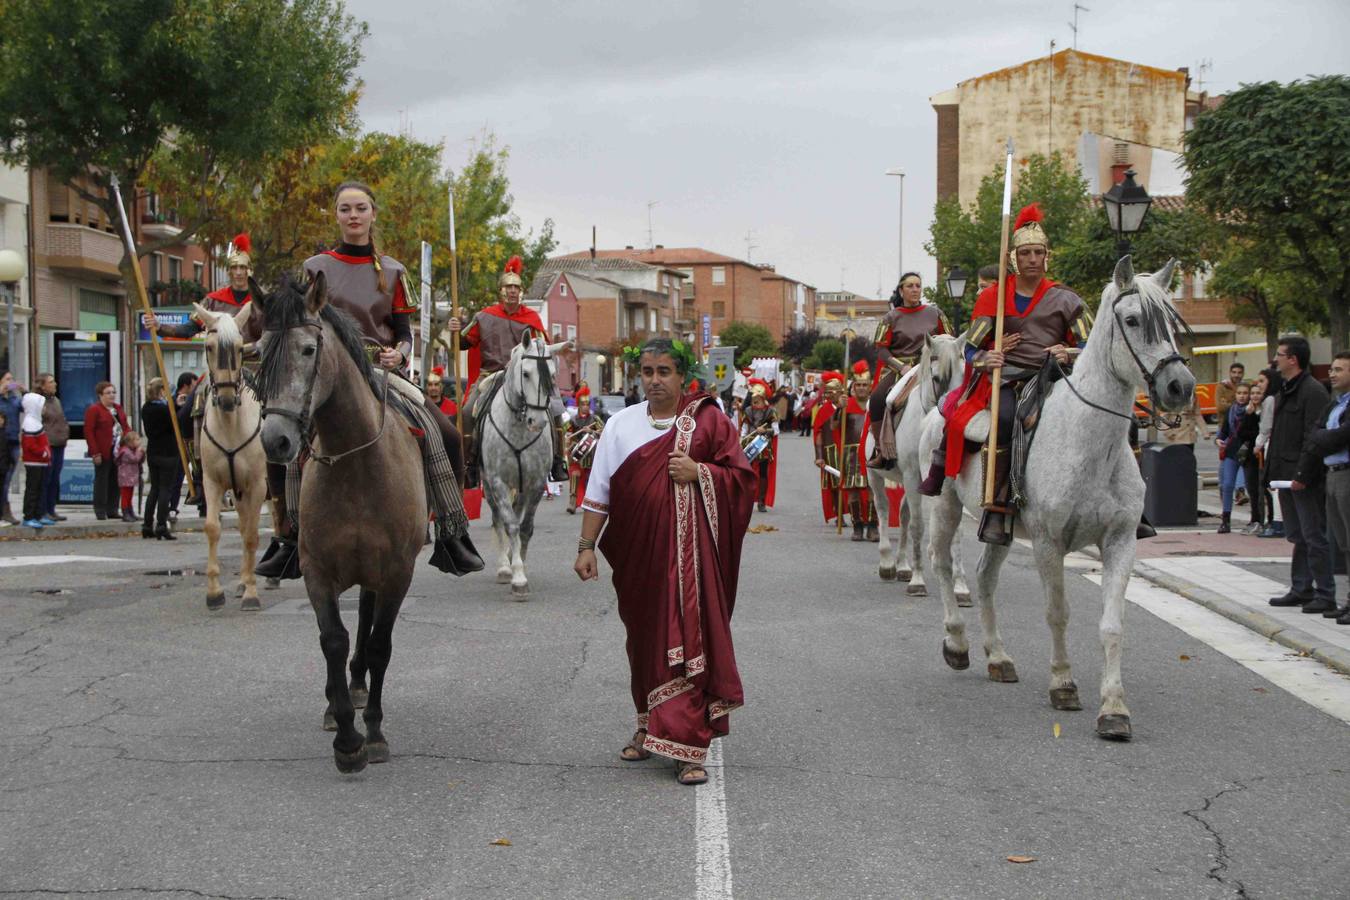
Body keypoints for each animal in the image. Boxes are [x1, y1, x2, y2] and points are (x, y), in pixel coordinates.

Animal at [253, 275, 421, 777]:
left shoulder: (398, 572)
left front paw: (375, 732)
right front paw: (347, 738)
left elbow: (380, 643)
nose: (275, 440)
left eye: (309, 349)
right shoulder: (317, 570)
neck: (357, 465)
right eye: (259, 350)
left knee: (367, 622)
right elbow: (331, 639)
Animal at [475, 333, 569, 599]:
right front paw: (516, 575)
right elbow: (510, 525)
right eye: (525, 373)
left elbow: (525, 527)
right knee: (499, 520)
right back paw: (504, 566)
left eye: (552, 374)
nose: (536, 422)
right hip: (489, 485)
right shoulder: (497, 481)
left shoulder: (535, 483)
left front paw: (522, 564)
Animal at [864, 334, 972, 601]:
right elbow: (918, 525)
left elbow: (956, 532)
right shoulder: (913, 476)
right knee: (883, 509)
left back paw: (903, 566)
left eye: (964, 377)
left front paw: (960, 587)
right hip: (875, 475)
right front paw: (918, 581)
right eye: (937, 378)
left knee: (902, 514)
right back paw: (888, 564)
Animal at [918, 256, 1193, 744]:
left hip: (1000, 525)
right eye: (1133, 319)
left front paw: (1114, 708)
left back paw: (998, 657)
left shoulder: (1120, 541)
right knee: (943, 563)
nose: (1180, 386)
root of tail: (942, 405)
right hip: (945, 505)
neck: (1090, 443)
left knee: (985, 577)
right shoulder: (1049, 542)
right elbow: (1057, 613)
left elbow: (1112, 624)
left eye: (1172, 322)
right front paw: (1063, 683)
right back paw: (957, 643)